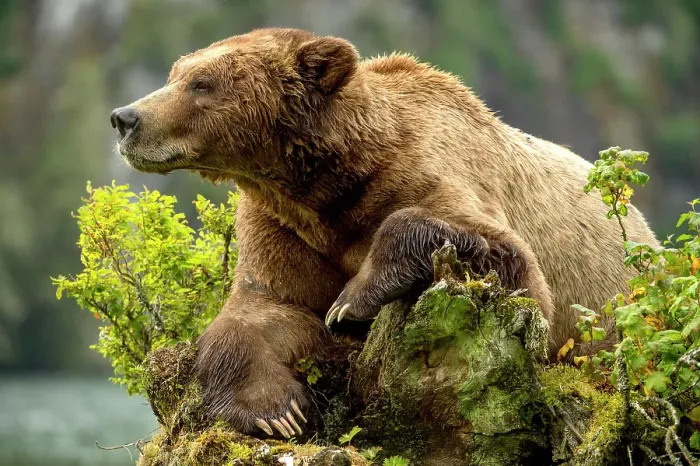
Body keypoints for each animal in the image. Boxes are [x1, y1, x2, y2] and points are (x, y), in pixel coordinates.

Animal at [110, 27, 659, 439]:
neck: (328, 187)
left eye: (201, 83)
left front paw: (353, 299)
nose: (124, 117)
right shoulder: (284, 228)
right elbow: (263, 308)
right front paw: (277, 411)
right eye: (177, 73)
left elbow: (508, 261)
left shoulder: (435, 173)